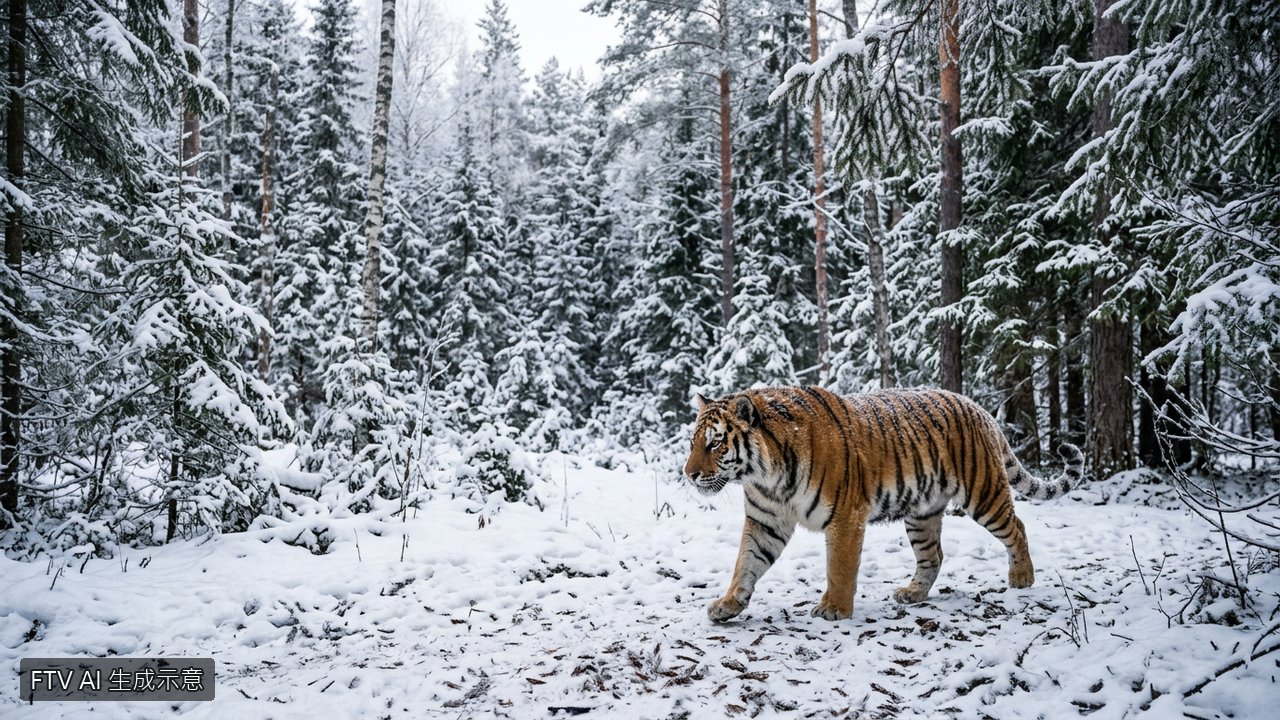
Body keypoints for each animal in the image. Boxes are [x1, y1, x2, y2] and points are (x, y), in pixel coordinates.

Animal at [682, 386, 1086, 622]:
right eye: (693, 442)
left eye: (715, 443)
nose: (689, 474)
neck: (766, 475)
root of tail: (980, 409)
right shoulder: (766, 521)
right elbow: (745, 563)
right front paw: (728, 605)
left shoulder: (845, 517)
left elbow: (840, 568)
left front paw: (834, 608)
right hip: (922, 513)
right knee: (933, 555)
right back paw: (913, 593)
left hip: (983, 492)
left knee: (1016, 527)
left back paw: (1022, 578)